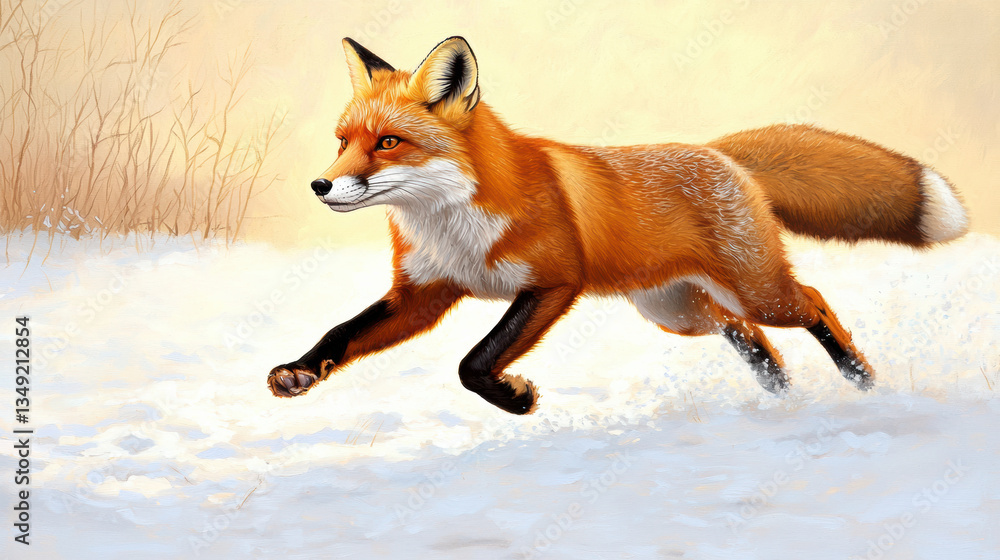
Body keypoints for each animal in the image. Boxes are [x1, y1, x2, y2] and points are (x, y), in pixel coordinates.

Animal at [267, 36, 969, 414]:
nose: (321, 185)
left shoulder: (554, 282)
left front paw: (516, 396)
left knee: (814, 303)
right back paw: (782, 396)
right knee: (747, 336)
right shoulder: (424, 293)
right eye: (342, 142)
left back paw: (862, 381)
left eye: (388, 142)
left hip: (756, 291)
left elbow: (474, 361)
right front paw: (299, 372)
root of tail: (716, 152)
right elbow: (342, 333)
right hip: (677, 311)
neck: (451, 224)